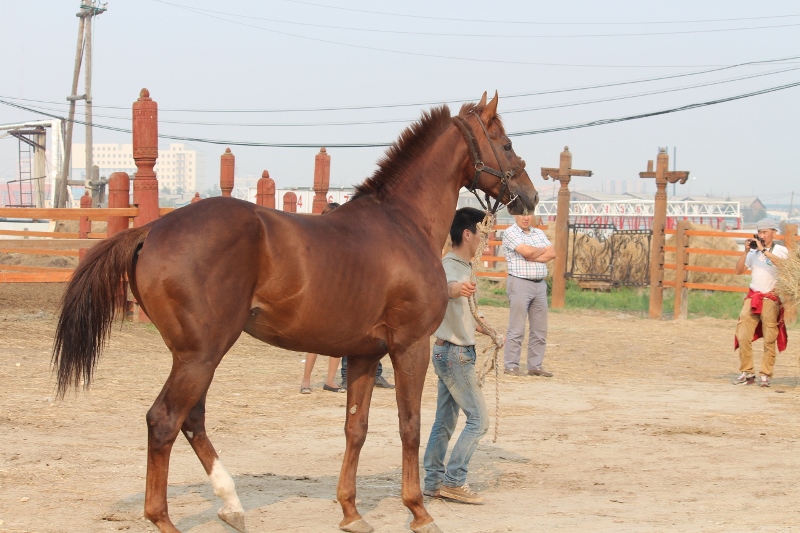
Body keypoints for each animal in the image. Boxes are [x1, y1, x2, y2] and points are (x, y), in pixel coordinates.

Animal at [54, 92, 536, 532]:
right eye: (506, 143)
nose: (529, 198)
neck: (402, 223)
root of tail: (151, 230)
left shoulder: (364, 354)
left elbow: (356, 429)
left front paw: (351, 512)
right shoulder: (409, 346)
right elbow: (411, 426)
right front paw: (419, 512)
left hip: (194, 356)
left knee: (191, 420)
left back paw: (232, 505)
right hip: (202, 355)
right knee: (164, 421)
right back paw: (167, 518)